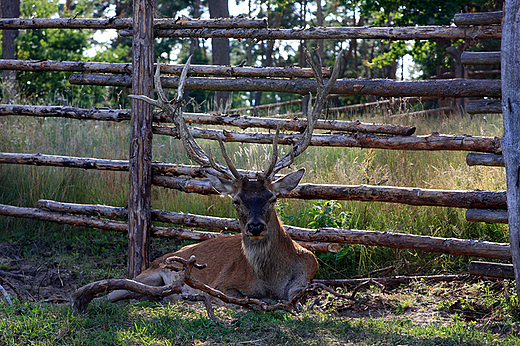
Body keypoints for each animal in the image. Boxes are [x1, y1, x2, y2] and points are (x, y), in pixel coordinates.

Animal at [106, 49, 342, 306]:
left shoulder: (308, 274)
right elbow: (240, 300)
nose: (256, 227)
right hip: (148, 273)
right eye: (236, 200)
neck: (271, 283)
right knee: (111, 292)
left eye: (272, 198)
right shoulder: (222, 284)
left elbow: (294, 298)